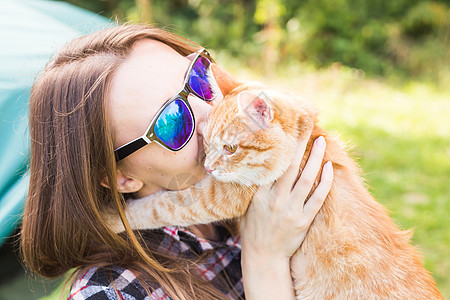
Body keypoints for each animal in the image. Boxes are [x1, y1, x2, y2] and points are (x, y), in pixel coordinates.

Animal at [103, 67, 442, 298]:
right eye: (205, 142)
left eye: (230, 148)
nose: (209, 167)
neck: (306, 137)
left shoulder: (219, 196)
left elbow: (159, 206)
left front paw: (114, 219)